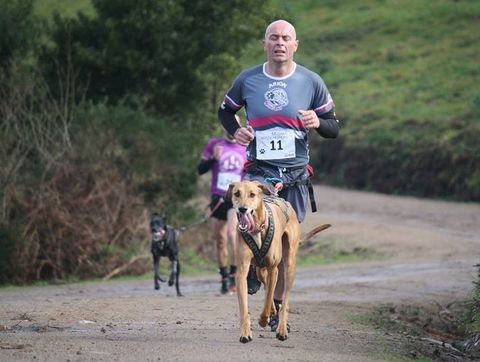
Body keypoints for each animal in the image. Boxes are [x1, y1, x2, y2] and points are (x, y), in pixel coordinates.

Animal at [227, 180, 324, 344]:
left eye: (252, 194)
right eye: (237, 193)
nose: (242, 209)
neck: (257, 229)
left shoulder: (273, 269)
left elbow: (268, 299)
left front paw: (263, 319)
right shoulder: (241, 271)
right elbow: (245, 306)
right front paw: (245, 333)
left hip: (288, 265)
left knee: (284, 301)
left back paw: (281, 329)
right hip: (260, 269)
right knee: (267, 287)